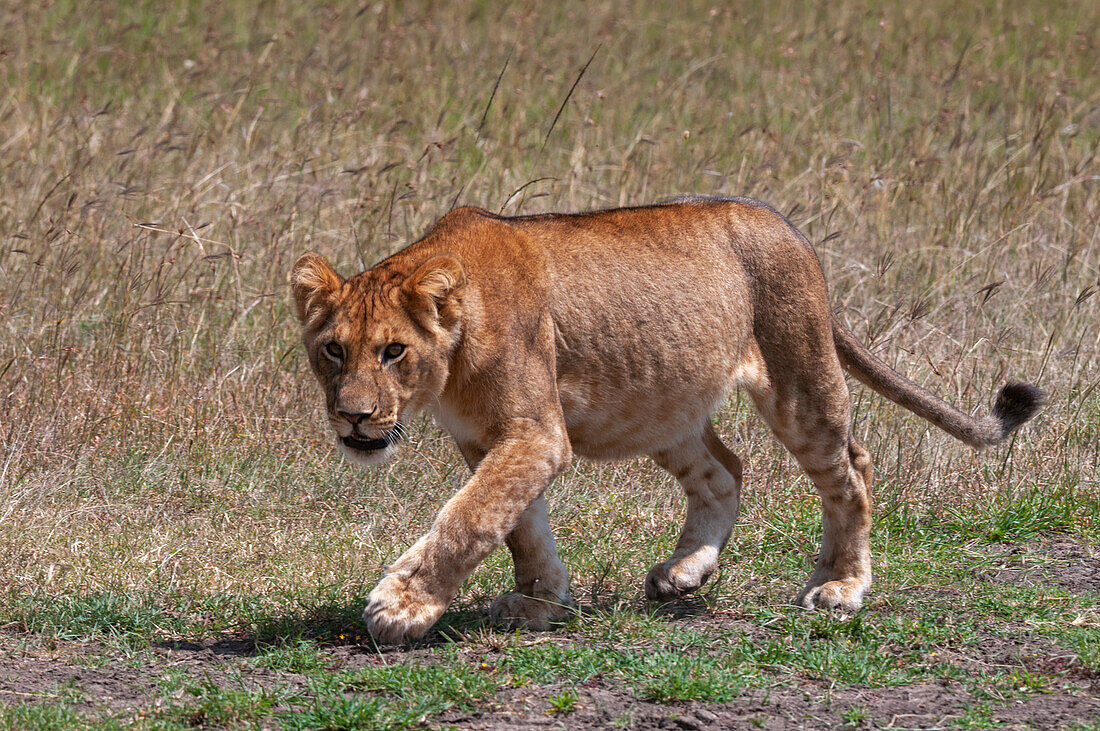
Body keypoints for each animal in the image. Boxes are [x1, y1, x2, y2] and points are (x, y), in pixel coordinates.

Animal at [290, 196, 1038, 641]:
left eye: (393, 351)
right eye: (333, 349)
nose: (354, 419)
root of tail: (785, 225)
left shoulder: (534, 434)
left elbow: (469, 518)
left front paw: (402, 606)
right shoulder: (490, 441)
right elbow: (518, 525)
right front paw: (539, 602)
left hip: (799, 377)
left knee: (851, 467)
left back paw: (840, 585)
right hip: (659, 406)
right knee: (724, 471)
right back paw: (685, 571)